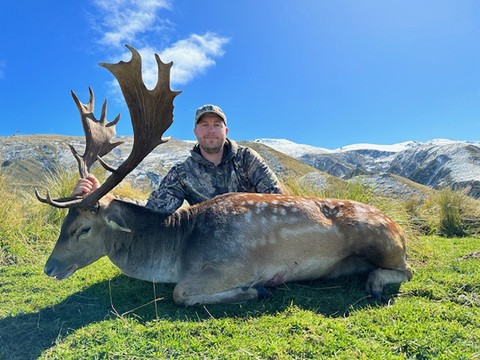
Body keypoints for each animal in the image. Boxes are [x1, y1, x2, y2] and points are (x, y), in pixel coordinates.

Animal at [37, 44, 412, 304]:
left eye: (83, 229)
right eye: (64, 223)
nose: (48, 268)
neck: (179, 250)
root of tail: (399, 228)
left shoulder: (235, 266)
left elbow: (181, 293)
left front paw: (258, 291)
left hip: (382, 242)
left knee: (407, 270)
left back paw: (374, 284)